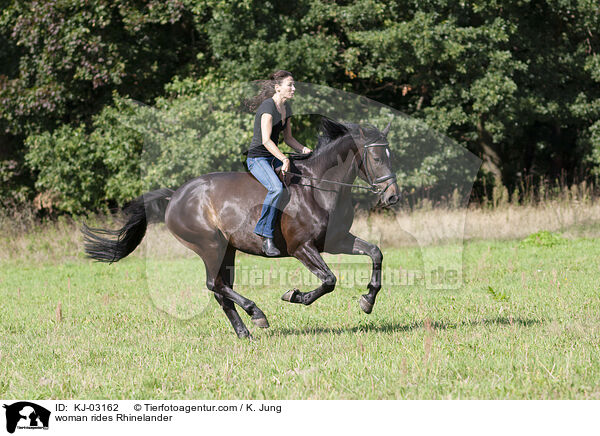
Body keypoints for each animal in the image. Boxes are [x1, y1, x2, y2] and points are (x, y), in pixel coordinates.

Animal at [83, 117, 398, 338]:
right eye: (377, 158)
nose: (393, 196)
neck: (319, 188)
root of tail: (175, 196)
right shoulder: (302, 248)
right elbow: (329, 280)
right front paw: (295, 296)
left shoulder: (336, 240)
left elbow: (375, 253)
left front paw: (368, 300)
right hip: (210, 245)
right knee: (216, 285)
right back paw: (256, 313)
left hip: (228, 250)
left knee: (221, 291)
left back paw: (244, 331)